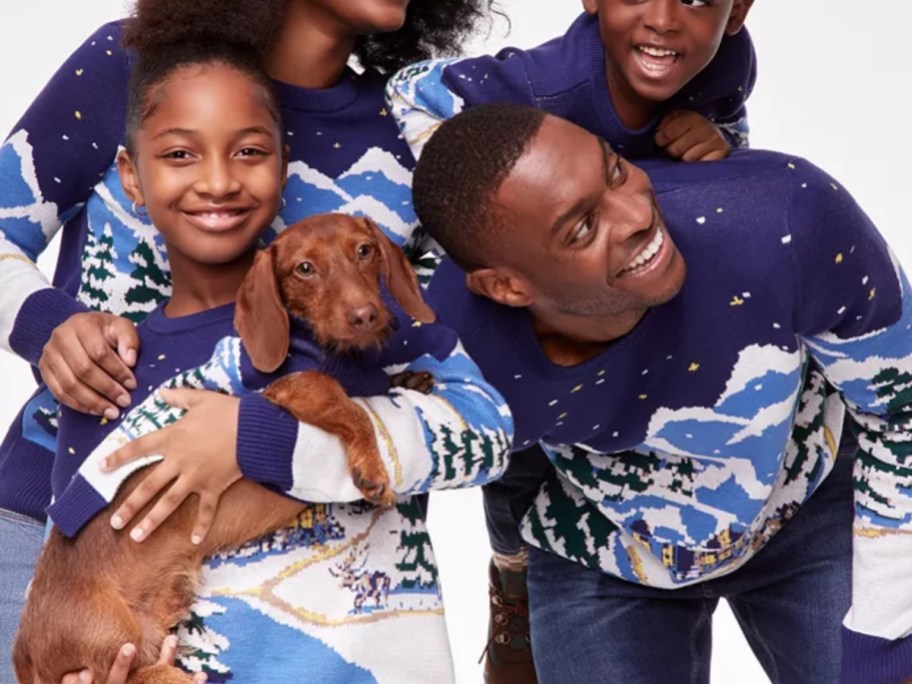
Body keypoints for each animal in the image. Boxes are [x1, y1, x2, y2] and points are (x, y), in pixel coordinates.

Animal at [13, 215, 434, 684]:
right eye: (304, 268)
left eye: (364, 250)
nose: (365, 315)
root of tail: (22, 651)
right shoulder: (290, 388)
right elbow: (349, 405)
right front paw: (371, 468)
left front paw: (408, 379)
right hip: (112, 644)